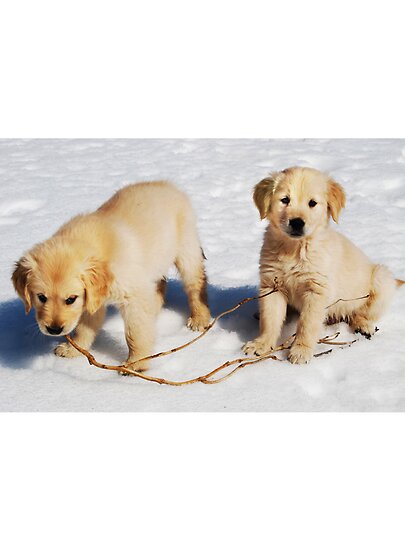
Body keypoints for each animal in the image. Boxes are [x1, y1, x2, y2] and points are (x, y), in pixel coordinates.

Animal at [11, 183, 211, 374]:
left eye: (70, 299)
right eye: (41, 297)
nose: (54, 329)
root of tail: (168, 184)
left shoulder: (131, 295)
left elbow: (135, 333)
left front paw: (135, 364)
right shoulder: (93, 298)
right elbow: (85, 327)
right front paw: (74, 349)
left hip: (186, 249)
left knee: (195, 283)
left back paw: (199, 319)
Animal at [241, 168, 402, 366]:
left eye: (312, 203)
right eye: (285, 200)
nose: (297, 222)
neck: (294, 249)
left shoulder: (317, 290)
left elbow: (307, 324)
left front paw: (301, 351)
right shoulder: (272, 285)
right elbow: (269, 319)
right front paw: (261, 344)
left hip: (381, 278)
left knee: (362, 313)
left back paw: (363, 325)